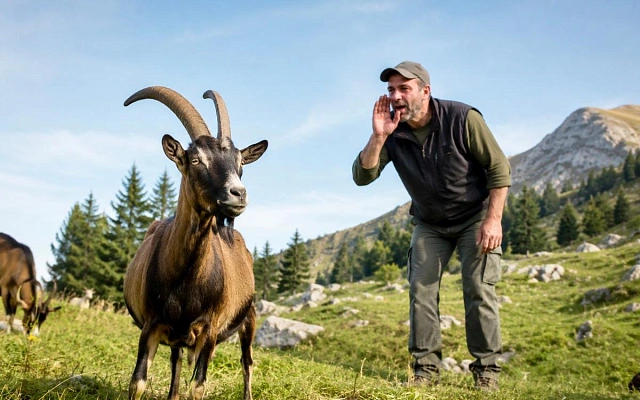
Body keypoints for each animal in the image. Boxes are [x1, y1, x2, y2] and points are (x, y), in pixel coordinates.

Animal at [122, 86, 268, 400]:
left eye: (240, 163)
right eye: (196, 160)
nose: (238, 194)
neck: (185, 282)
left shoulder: (210, 330)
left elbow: (198, 385)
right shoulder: (151, 325)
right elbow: (137, 381)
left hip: (248, 316)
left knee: (247, 361)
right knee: (176, 363)